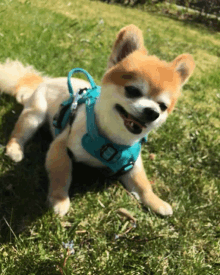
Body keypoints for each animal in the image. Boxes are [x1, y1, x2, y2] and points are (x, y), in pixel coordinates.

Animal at [0, 24, 195, 218]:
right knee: (18, 134)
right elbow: (61, 174)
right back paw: (15, 150)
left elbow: (143, 184)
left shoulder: (132, 165)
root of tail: (45, 80)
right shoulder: (61, 146)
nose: (152, 112)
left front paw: (156, 202)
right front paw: (59, 200)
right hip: (34, 115)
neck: (114, 140)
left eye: (163, 106)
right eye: (132, 91)